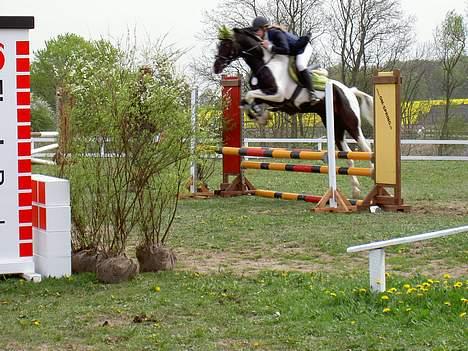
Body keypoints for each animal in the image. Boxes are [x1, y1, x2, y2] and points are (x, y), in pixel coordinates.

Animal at [214, 26, 374, 199]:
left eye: (227, 45)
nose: (216, 67)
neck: (265, 63)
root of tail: (349, 90)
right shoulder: (268, 97)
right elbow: (247, 101)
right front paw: (261, 116)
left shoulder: (278, 95)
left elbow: (250, 96)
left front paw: (261, 116)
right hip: (335, 125)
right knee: (348, 153)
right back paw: (355, 189)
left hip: (350, 122)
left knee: (366, 148)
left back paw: (373, 176)